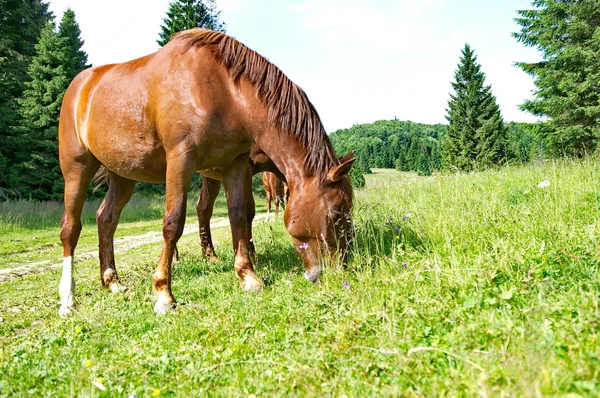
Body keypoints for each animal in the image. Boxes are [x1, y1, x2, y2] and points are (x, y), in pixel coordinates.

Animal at [58, 28, 354, 316]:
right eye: (336, 214)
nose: (342, 270)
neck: (222, 91)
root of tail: (80, 86)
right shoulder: (181, 160)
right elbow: (173, 222)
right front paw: (163, 294)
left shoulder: (235, 163)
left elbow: (239, 214)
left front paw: (248, 275)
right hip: (76, 168)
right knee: (71, 228)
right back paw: (67, 299)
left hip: (123, 175)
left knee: (106, 219)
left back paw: (112, 282)